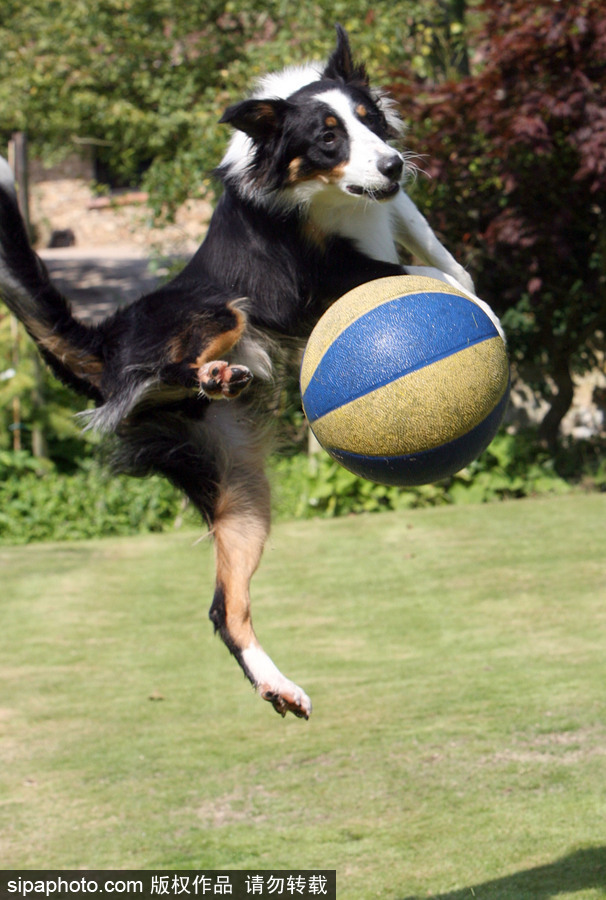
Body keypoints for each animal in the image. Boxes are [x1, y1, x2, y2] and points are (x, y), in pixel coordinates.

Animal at [0, 24, 484, 720]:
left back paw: (277, 685)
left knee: (222, 608)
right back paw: (209, 375)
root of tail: (104, 346)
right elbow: (423, 273)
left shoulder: (394, 212)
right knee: (163, 368)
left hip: (238, 487)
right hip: (216, 310)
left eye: (369, 119)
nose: (392, 164)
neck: (322, 195)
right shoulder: (306, 289)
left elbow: (441, 255)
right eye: (327, 138)